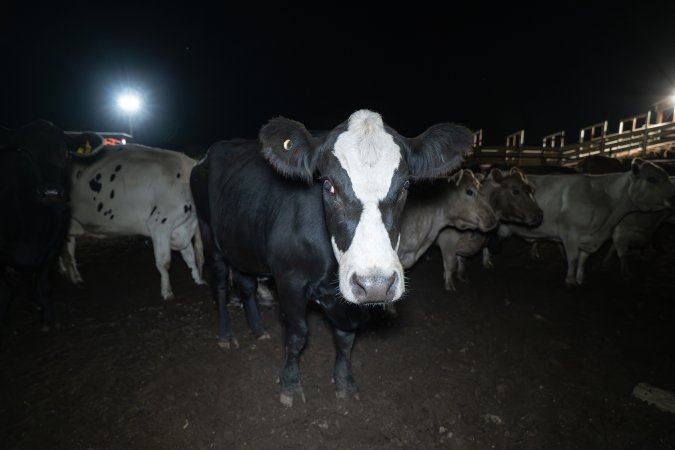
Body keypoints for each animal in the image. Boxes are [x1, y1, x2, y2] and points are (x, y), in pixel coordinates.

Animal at [0, 119, 71, 334]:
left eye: (65, 151)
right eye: (24, 152)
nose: (51, 192)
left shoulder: (54, 245)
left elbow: (44, 283)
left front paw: (48, 319)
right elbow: (4, 291)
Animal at [190, 110, 472, 408]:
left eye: (406, 185)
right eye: (328, 184)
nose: (376, 285)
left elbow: (346, 338)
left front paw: (344, 381)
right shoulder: (289, 279)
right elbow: (298, 333)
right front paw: (290, 384)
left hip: (243, 241)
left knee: (246, 285)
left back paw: (257, 329)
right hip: (209, 234)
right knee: (220, 285)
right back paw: (225, 334)